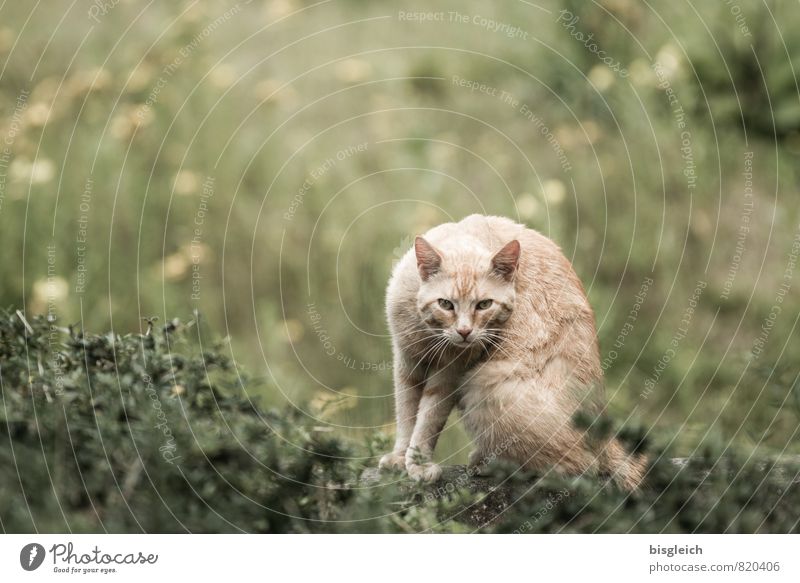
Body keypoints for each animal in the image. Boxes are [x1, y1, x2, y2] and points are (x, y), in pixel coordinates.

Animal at [378, 214, 648, 488]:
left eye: (484, 305)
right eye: (445, 304)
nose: (464, 332)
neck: (430, 334)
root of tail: (603, 430)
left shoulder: (449, 373)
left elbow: (428, 419)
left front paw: (418, 463)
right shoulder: (406, 362)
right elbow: (406, 413)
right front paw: (400, 457)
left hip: (487, 386)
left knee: (581, 467)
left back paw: (493, 465)